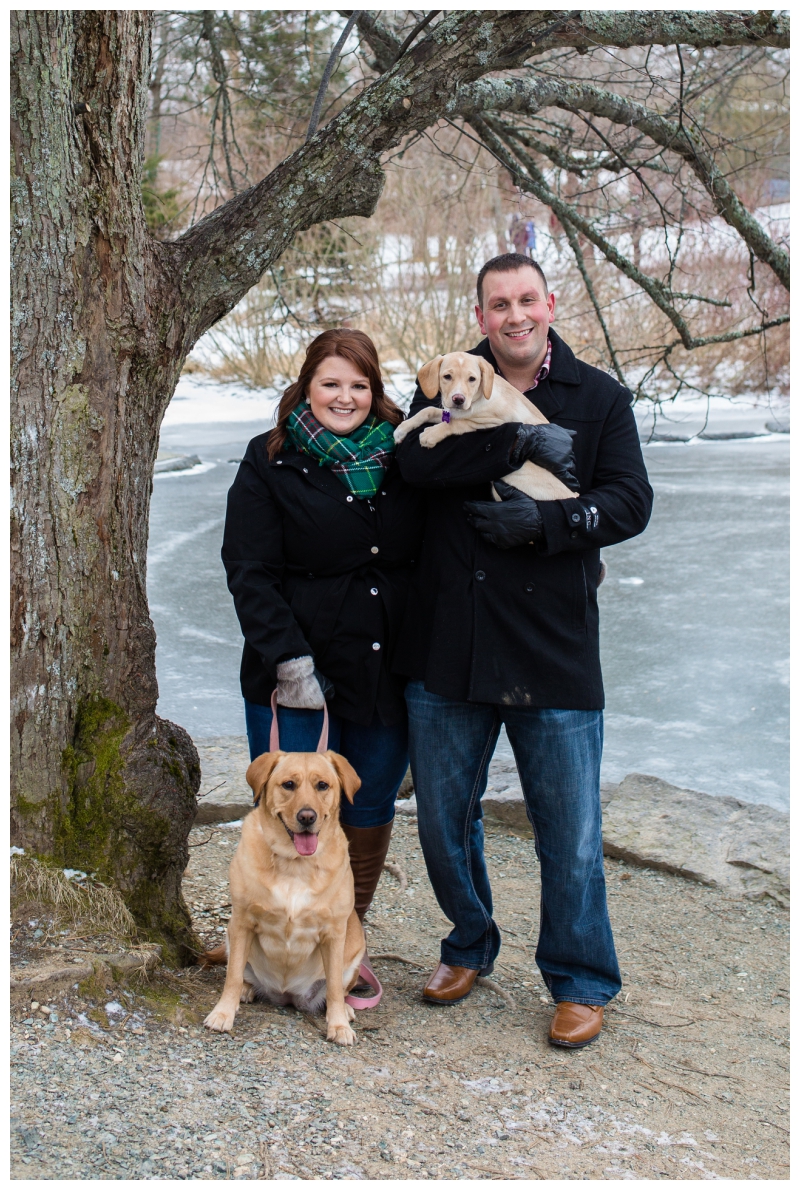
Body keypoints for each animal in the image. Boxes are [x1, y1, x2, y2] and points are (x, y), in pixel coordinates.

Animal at [205, 747, 369, 1047]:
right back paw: (247, 990)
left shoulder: (334, 934)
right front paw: (223, 1013)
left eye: (322, 785)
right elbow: (232, 976)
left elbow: (334, 989)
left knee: (338, 989)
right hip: (232, 937)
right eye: (289, 784)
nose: (307, 817)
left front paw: (338, 1025)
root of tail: (286, 995)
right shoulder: (242, 922)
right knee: (240, 972)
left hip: (354, 950)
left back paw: (346, 1009)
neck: (295, 864)